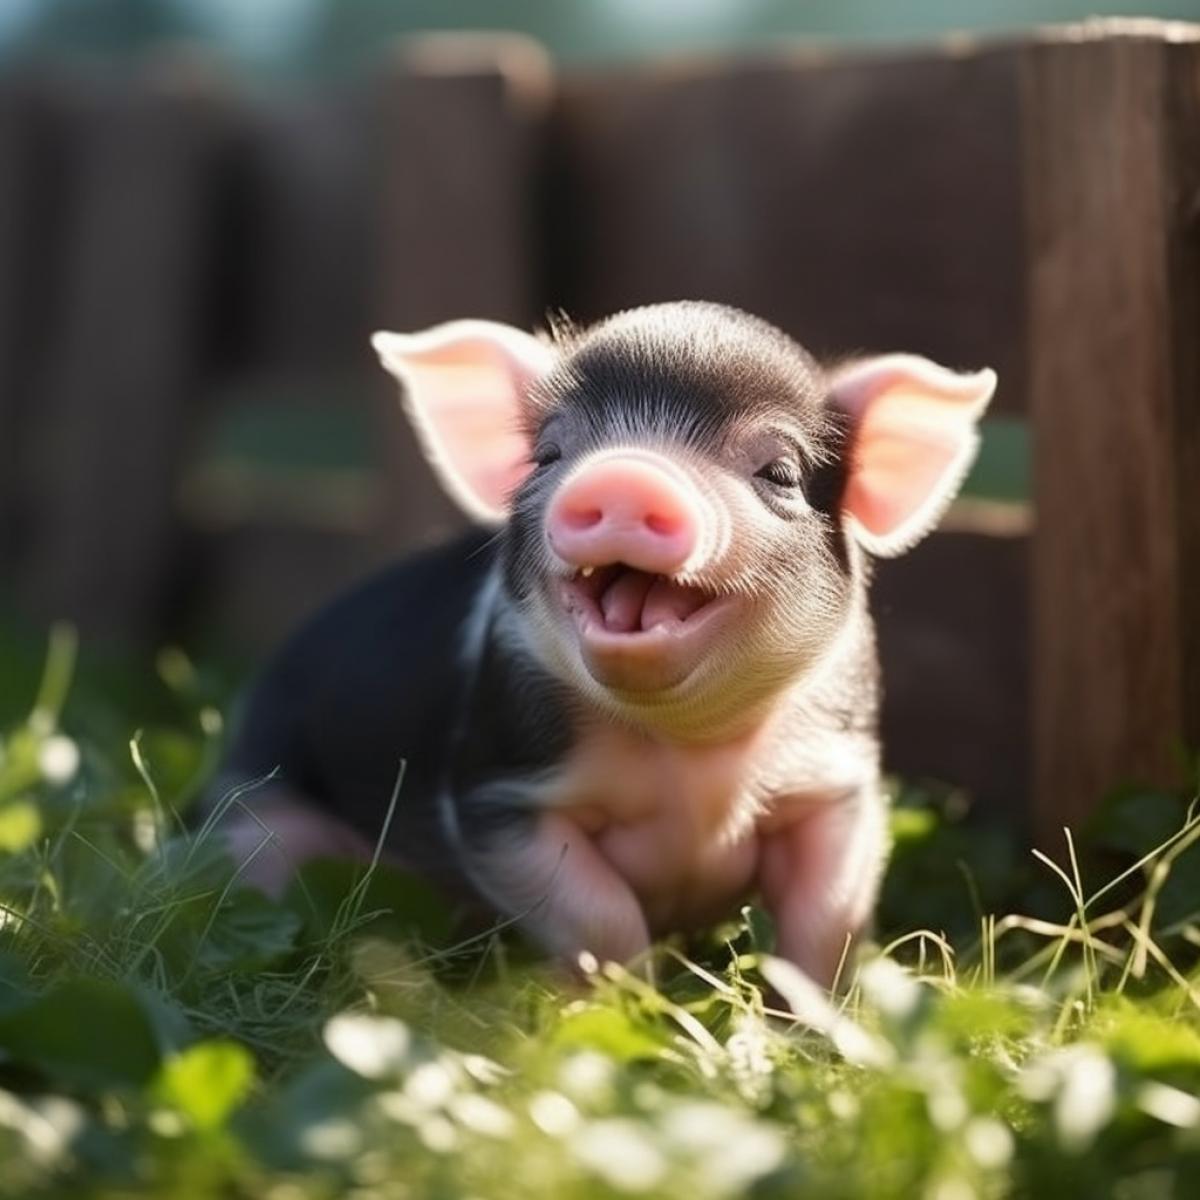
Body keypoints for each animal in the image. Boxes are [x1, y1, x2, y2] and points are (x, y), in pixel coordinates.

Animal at [215, 302, 995, 987]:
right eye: (549, 455)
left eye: (779, 473)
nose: (625, 472)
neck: (689, 757)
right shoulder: (500, 792)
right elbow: (601, 916)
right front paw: (617, 1002)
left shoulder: (836, 785)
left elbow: (825, 926)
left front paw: (808, 1031)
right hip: (260, 823)